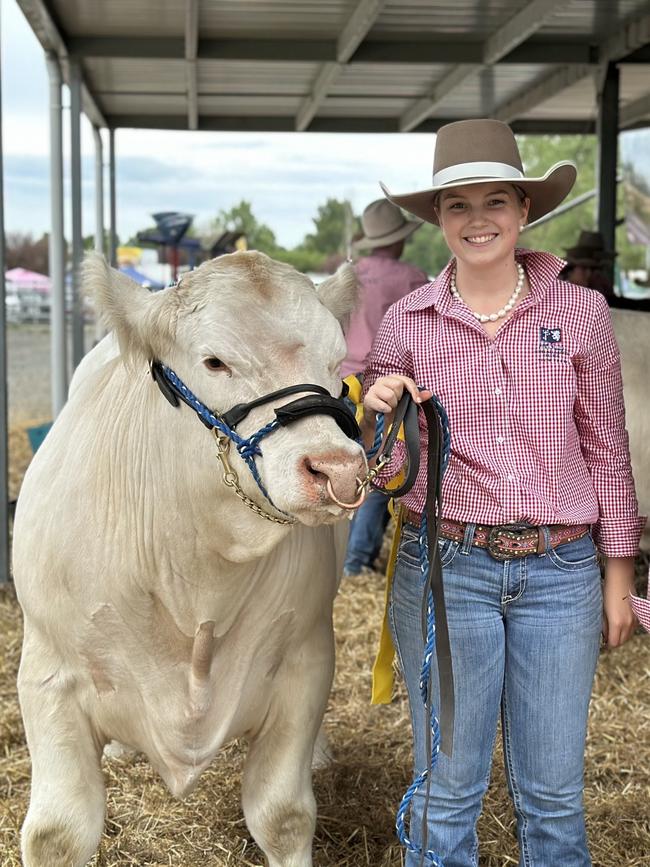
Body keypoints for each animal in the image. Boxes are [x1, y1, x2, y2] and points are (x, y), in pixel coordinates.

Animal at [11, 248, 364, 864]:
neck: (198, 571)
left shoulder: (306, 662)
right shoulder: (48, 675)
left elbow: (284, 816)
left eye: (337, 360)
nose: (336, 468)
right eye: (214, 361)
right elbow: (57, 833)